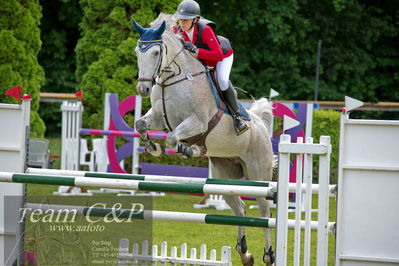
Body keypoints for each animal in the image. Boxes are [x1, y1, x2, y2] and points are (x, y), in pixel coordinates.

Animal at [133, 15, 276, 264]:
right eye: (137, 52)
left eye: (155, 53)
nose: (143, 88)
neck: (173, 80)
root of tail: (260, 124)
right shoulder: (159, 117)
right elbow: (141, 125)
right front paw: (152, 147)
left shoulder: (197, 121)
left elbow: (172, 139)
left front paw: (189, 150)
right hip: (224, 175)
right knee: (239, 208)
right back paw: (244, 252)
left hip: (258, 174)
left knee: (264, 211)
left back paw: (268, 255)